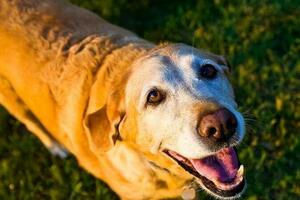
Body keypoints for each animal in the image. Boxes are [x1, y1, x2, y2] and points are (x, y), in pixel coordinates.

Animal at [0, 0, 246, 199]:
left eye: (208, 71)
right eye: (154, 96)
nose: (221, 125)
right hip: (12, 99)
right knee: (31, 122)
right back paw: (55, 147)